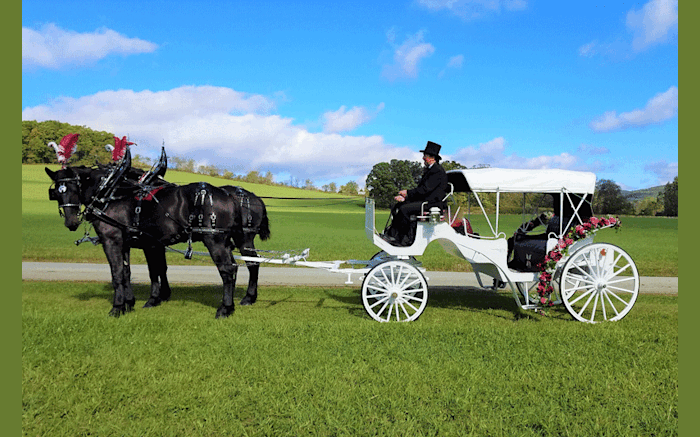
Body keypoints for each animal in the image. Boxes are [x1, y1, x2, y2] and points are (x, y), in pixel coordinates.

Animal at [46, 152, 270, 318]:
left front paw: (118, 307)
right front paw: (132, 302)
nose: (71, 222)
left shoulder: (113, 240)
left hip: (216, 239)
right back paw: (246, 298)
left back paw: (226, 308)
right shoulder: (137, 243)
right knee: (250, 263)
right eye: (57, 191)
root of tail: (229, 195)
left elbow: (120, 272)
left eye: (72, 188)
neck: (111, 193)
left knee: (229, 269)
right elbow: (136, 271)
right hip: (238, 239)